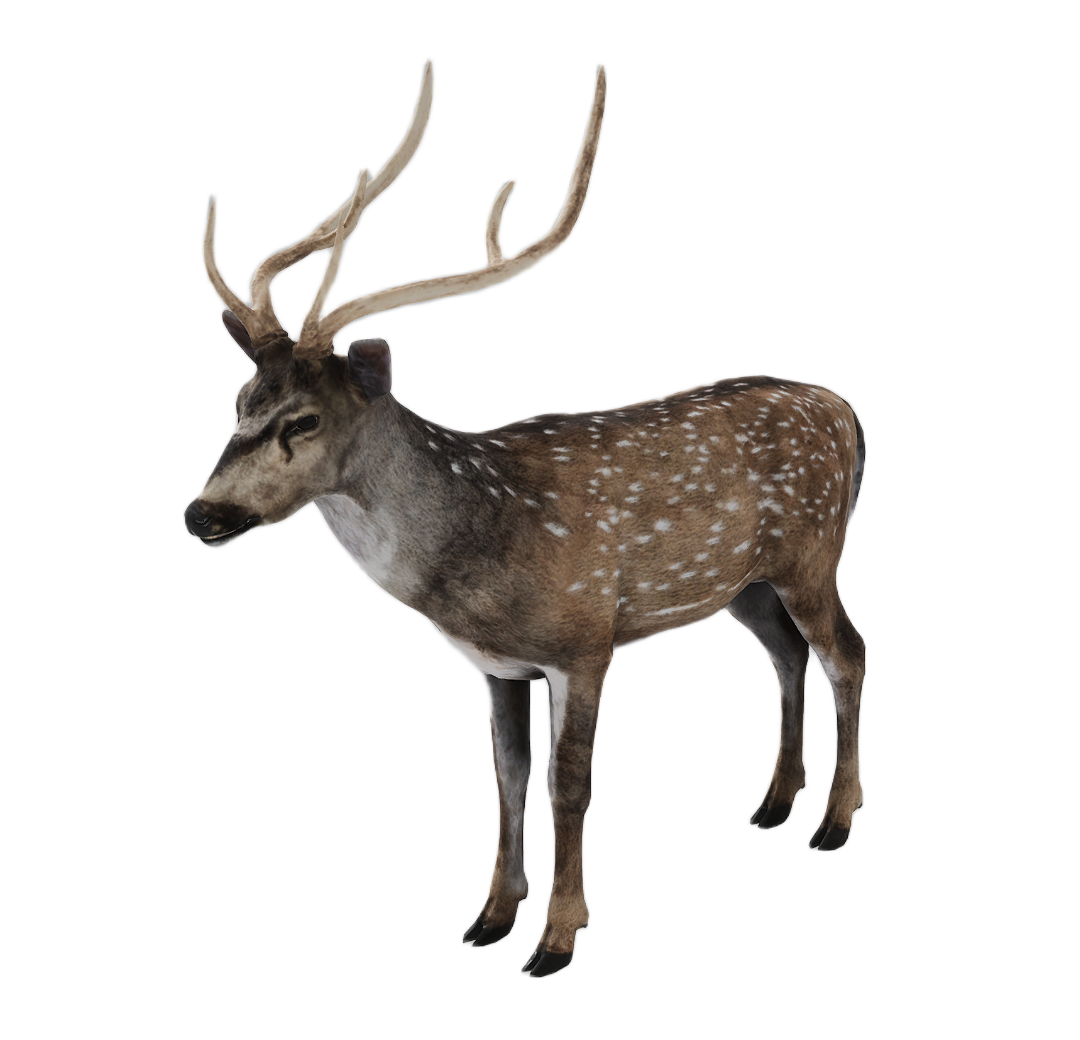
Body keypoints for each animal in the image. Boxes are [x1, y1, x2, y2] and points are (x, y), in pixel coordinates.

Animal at [183, 58, 867, 979]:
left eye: (305, 421)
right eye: (239, 404)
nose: (201, 514)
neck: (473, 557)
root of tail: (847, 411)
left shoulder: (584, 639)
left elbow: (567, 783)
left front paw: (557, 937)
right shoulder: (495, 663)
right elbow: (506, 777)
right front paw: (489, 917)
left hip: (812, 554)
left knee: (845, 653)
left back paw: (832, 822)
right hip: (743, 583)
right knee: (787, 655)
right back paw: (772, 803)